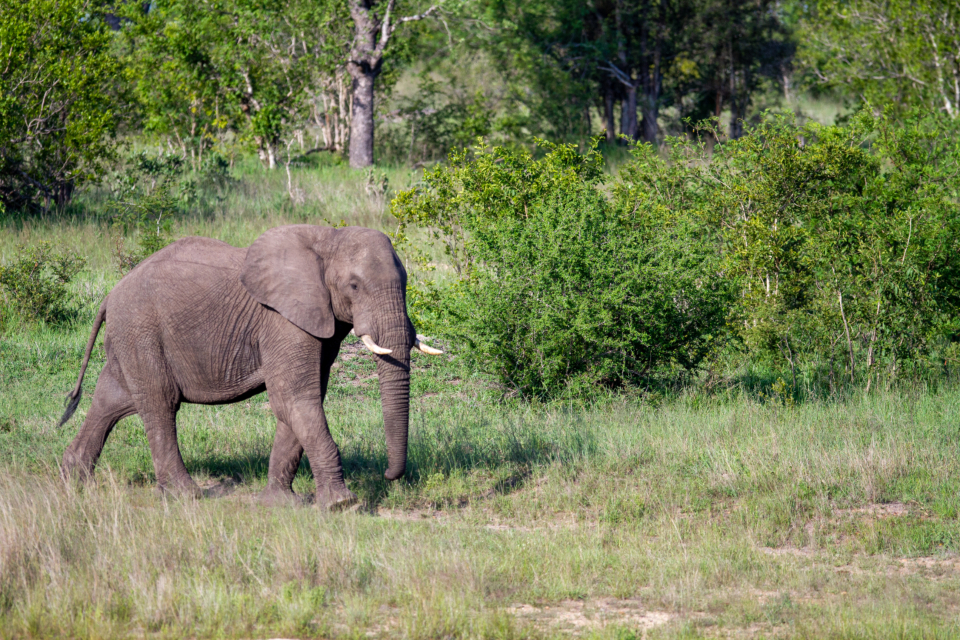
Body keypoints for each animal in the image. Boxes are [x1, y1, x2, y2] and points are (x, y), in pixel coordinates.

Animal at [57, 225, 441, 509]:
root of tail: (110, 294)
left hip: (131, 336)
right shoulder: (282, 320)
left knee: (113, 398)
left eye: (406, 283)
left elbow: (300, 401)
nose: (390, 476)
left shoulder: (319, 321)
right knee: (159, 402)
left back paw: (73, 479)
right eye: (354, 286)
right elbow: (295, 398)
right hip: (141, 330)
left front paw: (280, 504)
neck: (329, 237)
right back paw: (186, 496)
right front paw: (341, 505)